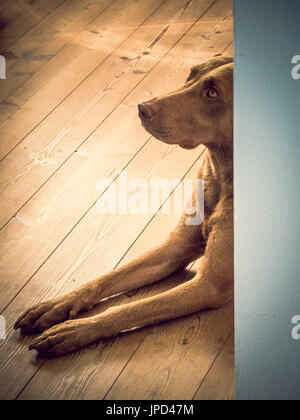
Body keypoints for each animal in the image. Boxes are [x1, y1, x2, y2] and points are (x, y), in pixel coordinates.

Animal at [14, 55, 234, 358]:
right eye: (191, 74)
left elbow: (132, 307)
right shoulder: (176, 247)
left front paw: (76, 329)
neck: (223, 175)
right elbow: (107, 277)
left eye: (212, 93)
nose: (142, 108)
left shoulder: (209, 284)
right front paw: (57, 304)